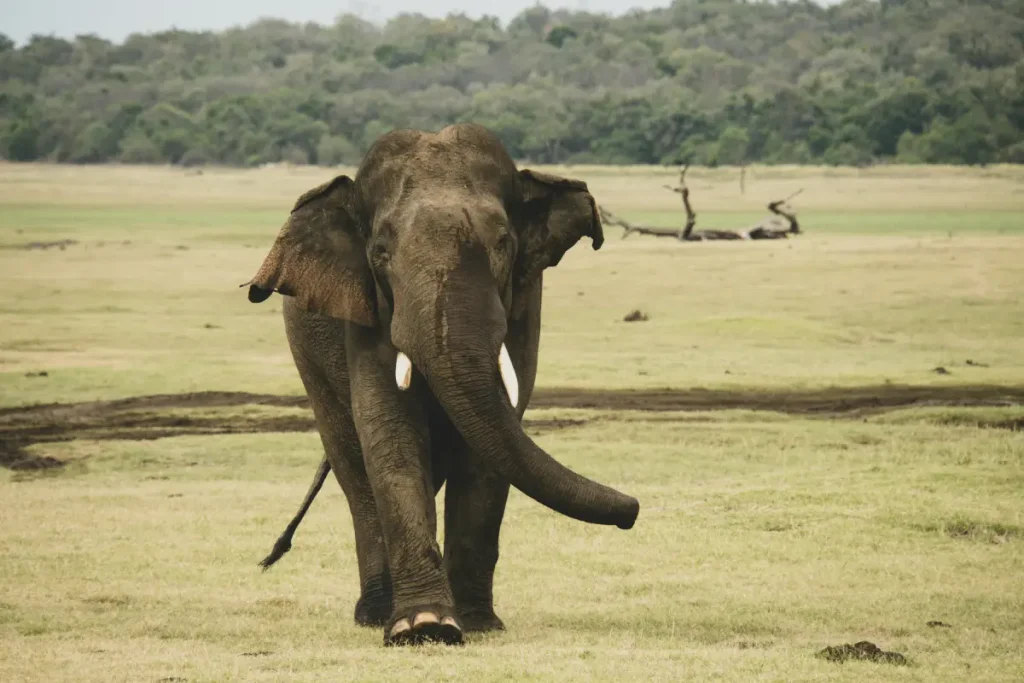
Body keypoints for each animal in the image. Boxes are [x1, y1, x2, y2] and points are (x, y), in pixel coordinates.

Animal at [242, 122, 634, 647]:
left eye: (503, 243)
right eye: (380, 253)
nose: (632, 510)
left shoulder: (525, 300)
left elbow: (489, 449)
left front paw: (477, 623)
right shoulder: (365, 305)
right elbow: (389, 429)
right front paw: (423, 627)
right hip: (308, 358)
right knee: (353, 468)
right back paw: (374, 613)